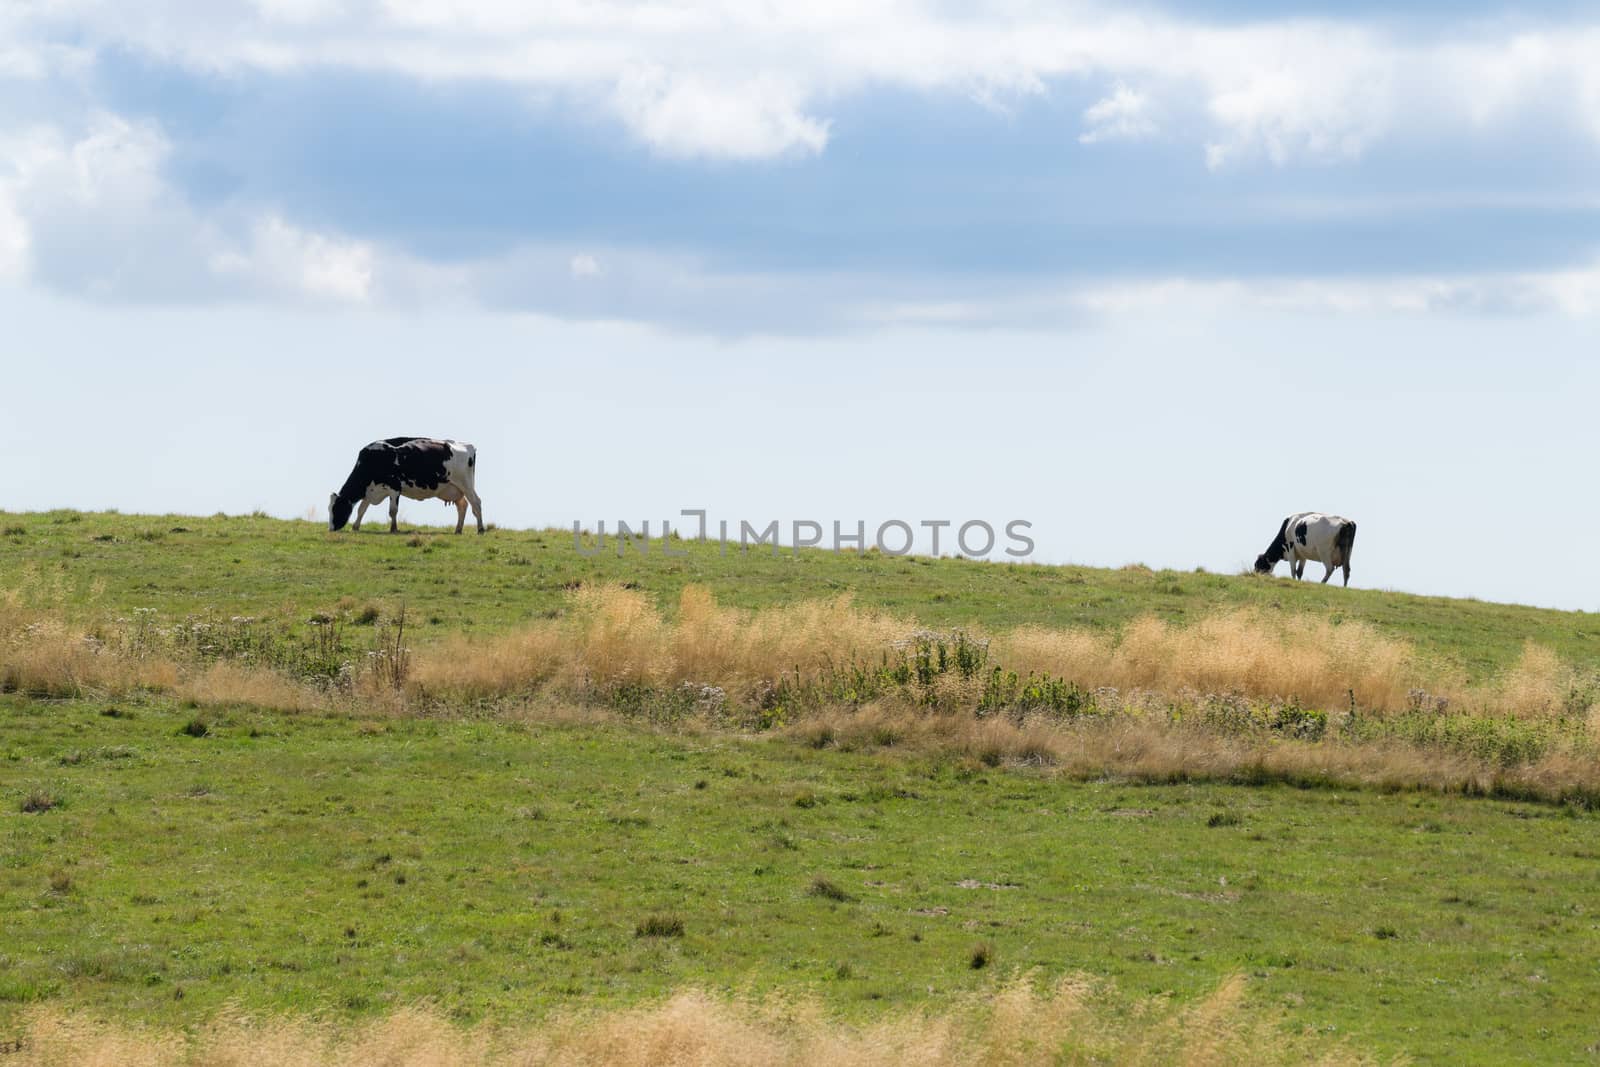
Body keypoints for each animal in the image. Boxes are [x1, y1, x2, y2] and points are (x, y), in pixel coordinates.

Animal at [321, 435, 476, 534]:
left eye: (336, 508)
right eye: (329, 509)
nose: (331, 529)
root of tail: (466, 445)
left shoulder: (395, 487)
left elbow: (393, 511)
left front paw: (393, 529)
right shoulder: (371, 490)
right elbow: (361, 509)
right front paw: (355, 527)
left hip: (466, 484)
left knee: (476, 503)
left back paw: (479, 529)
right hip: (453, 489)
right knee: (463, 506)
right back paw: (458, 530)